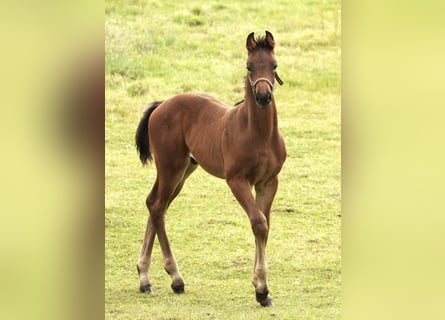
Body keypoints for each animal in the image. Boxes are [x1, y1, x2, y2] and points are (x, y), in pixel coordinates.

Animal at [135, 30, 286, 308]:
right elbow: (258, 222)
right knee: (158, 207)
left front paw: (260, 288)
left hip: (184, 170)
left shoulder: (269, 181)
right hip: (171, 166)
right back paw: (176, 279)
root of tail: (162, 104)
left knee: (153, 203)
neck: (259, 134)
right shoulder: (236, 180)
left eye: (274, 65)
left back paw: (144, 279)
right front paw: (261, 290)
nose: (263, 97)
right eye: (249, 66)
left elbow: (265, 224)